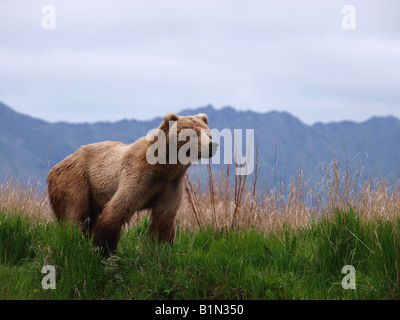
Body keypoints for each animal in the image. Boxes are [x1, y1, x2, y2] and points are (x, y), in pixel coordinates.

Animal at [47, 112, 219, 255]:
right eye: (193, 134)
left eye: (208, 133)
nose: (213, 144)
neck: (164, 167)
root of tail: (56, 166)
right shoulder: (138, 175)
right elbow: (118, 209)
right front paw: (104, 250)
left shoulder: (171, 183)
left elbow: (164, 216)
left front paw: (160, 247)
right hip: (75, 180)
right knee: (75, 213)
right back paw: (73, 242)